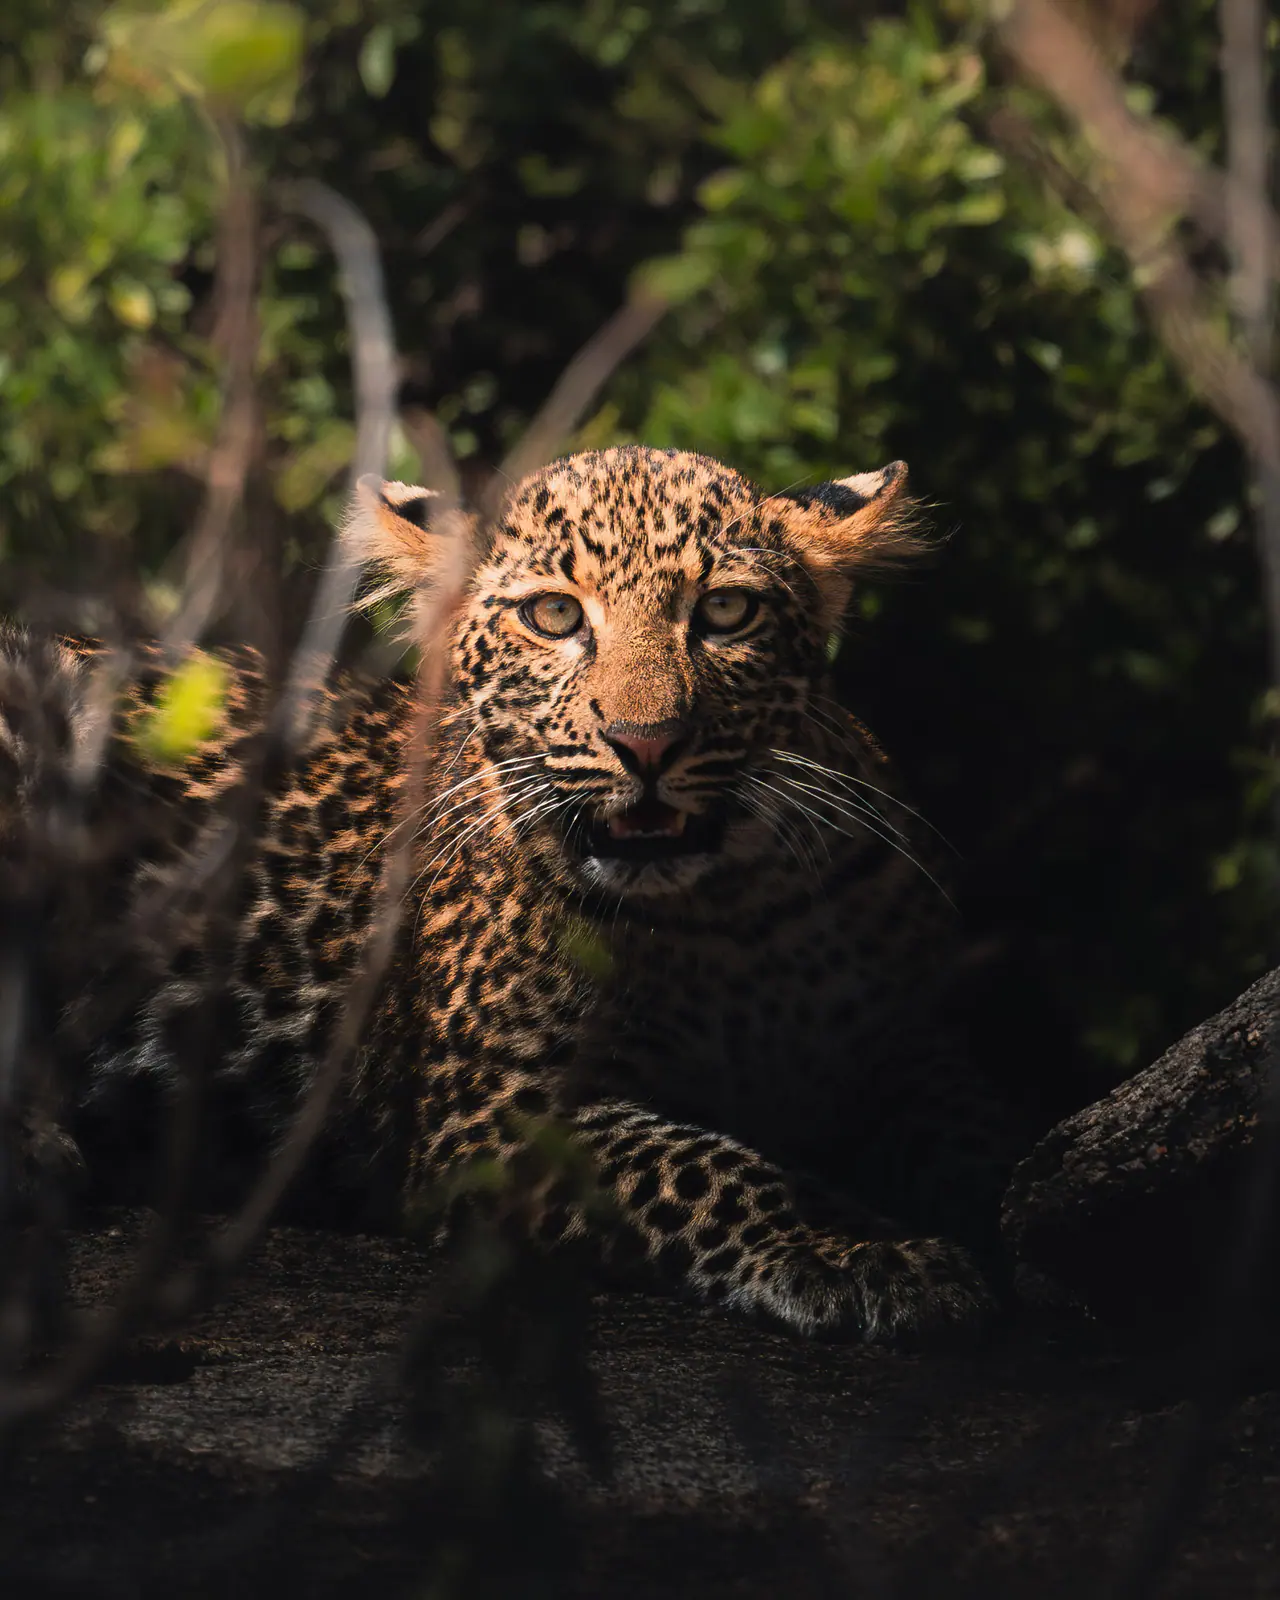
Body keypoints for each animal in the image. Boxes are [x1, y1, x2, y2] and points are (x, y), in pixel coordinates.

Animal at [2, 445, 1014, 1342]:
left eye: (727, 612)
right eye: (556, 615)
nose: (647, 744)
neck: (733, 919)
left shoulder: (910, 1048)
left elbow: (984, 1136)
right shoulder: (496, 1112)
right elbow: (716, 1168)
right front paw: (861, 1251)